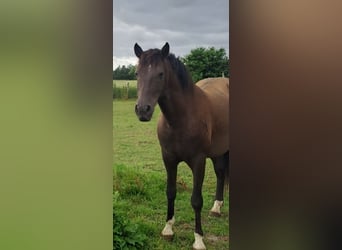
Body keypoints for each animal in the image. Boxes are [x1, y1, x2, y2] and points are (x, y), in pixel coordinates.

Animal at [134, 42, 230, 249]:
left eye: (161, 74)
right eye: (137, 73)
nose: (143, 110)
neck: (181, 118)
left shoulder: (198, 161)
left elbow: (196, 200)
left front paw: (199, 239)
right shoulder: (168, 158)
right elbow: (170, 192)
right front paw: (168, 229)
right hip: (218, 151)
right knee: (220, 173)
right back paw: (217, 207)